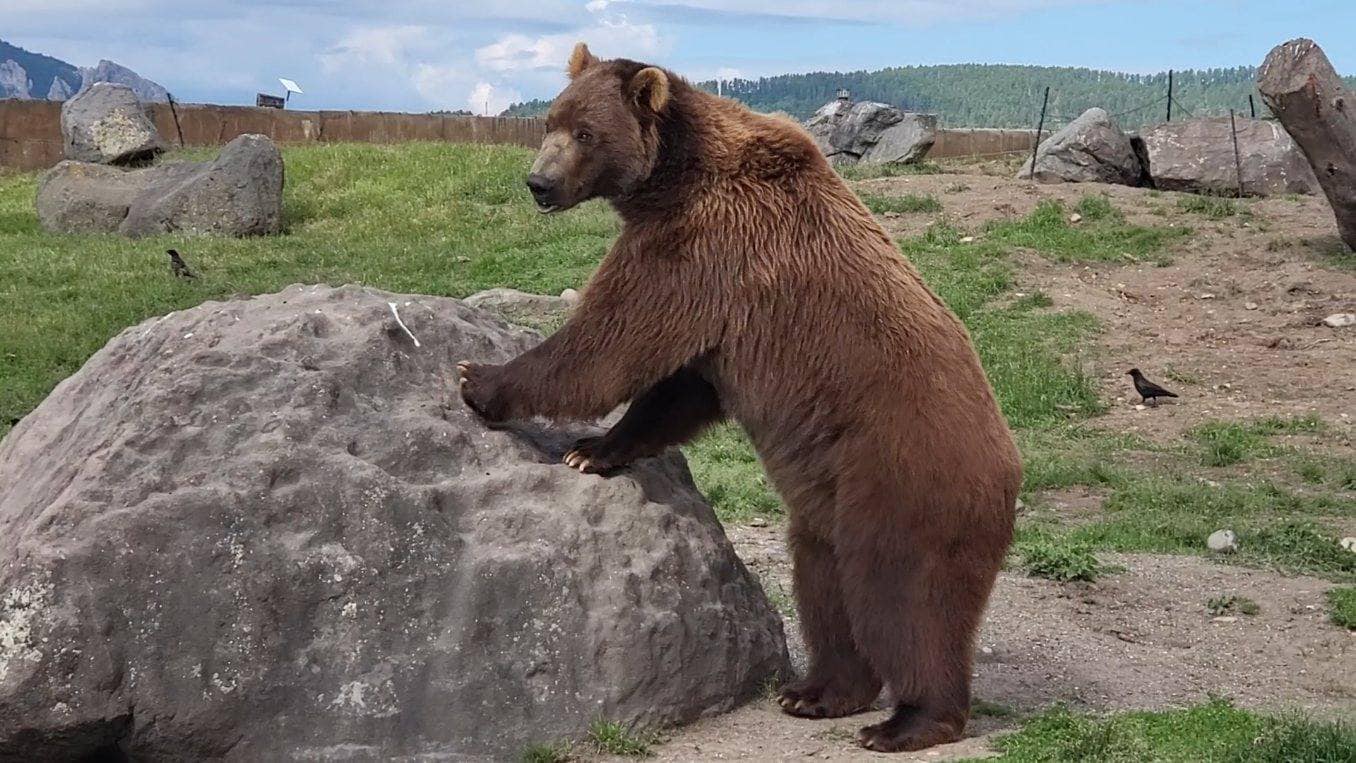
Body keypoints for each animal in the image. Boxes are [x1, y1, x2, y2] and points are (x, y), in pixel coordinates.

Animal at [458, 43, 1021, 753]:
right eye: (550, 122)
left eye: (584, 132)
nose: (539, 184)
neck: (674, 176)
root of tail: (1011, 468)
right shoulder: (719, 297)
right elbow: (681, 389)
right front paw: (596, 448)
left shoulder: (702, 248)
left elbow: (609, 343)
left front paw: (479, 378)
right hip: (828, 493)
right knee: (824, 582)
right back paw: (818, 692)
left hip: (905, 476)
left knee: (900, 594)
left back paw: (908, 720)